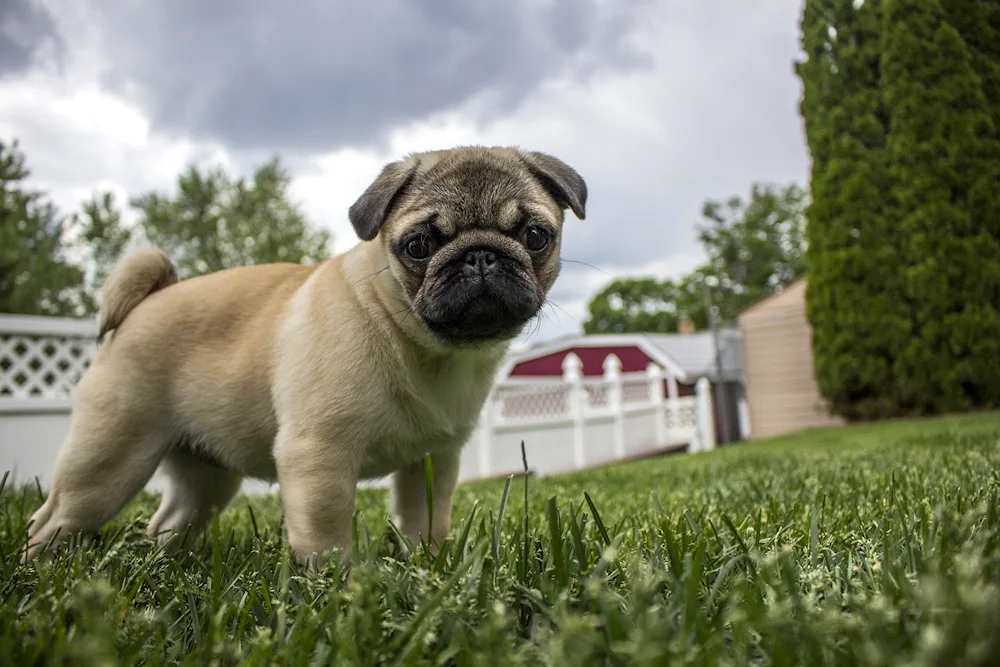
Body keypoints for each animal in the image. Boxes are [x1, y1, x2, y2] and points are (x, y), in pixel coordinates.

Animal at [21, 147, 584, 568]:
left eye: (536, 236)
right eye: (418, 246)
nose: (480, 256)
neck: (421, 346)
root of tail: (150, 299)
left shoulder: (433, 460)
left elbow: (427, 520)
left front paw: (428, 568)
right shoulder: (320, 457)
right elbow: (326, 534)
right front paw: (335, 589)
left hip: (207, 476)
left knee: (170, 519)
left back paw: (163, 563)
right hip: (108, 460)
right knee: (54, 519)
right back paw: (40, 571)